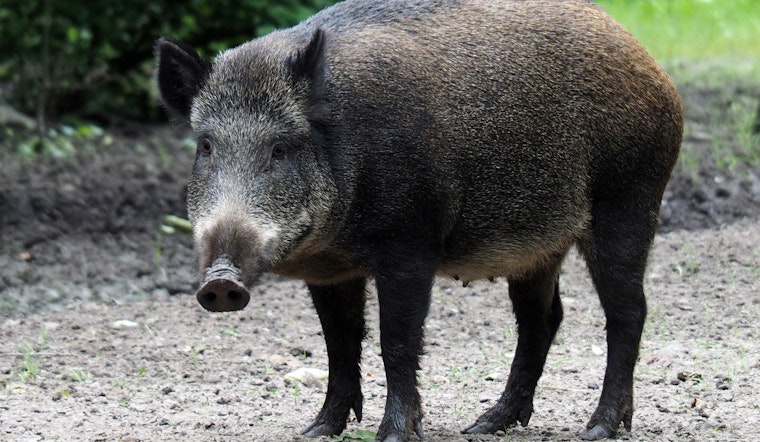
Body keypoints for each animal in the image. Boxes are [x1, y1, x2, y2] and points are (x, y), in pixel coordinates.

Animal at [155, 0, 682, 440]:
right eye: (206, 146)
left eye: (279, 148)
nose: (220, 282)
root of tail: (652, 68)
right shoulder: (329, 270)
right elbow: (339, 343)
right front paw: (317, 430)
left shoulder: (410, 243)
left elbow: (398, 342)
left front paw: (393, 435)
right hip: (538, 247)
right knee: (543, 319)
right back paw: (486, 424)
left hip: (629, 201)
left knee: (628, 312)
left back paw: (599, 428)